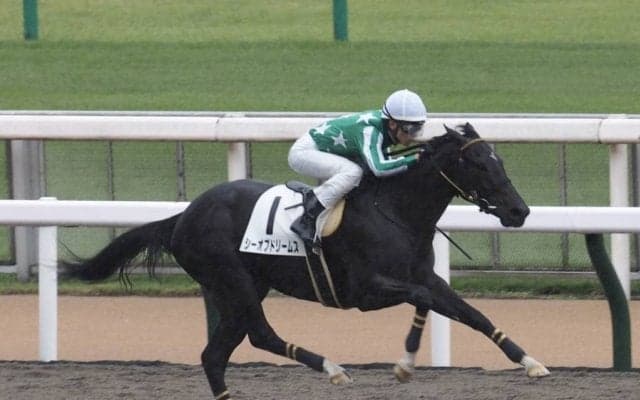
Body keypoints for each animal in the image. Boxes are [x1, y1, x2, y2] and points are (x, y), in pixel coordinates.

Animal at [63, 123, 549, 399]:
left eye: (500, 159)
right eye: (479, 164)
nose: (519, 211)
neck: (396, 210)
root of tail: (184, 215)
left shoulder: (424, 276)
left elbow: (470, 314)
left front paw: (531, 362)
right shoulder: (365, 289)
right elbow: (424, 300)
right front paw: (405, 364)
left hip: (239, 287)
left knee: (215, 355)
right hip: (232, 281)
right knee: (259, 335)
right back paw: (332, 369)